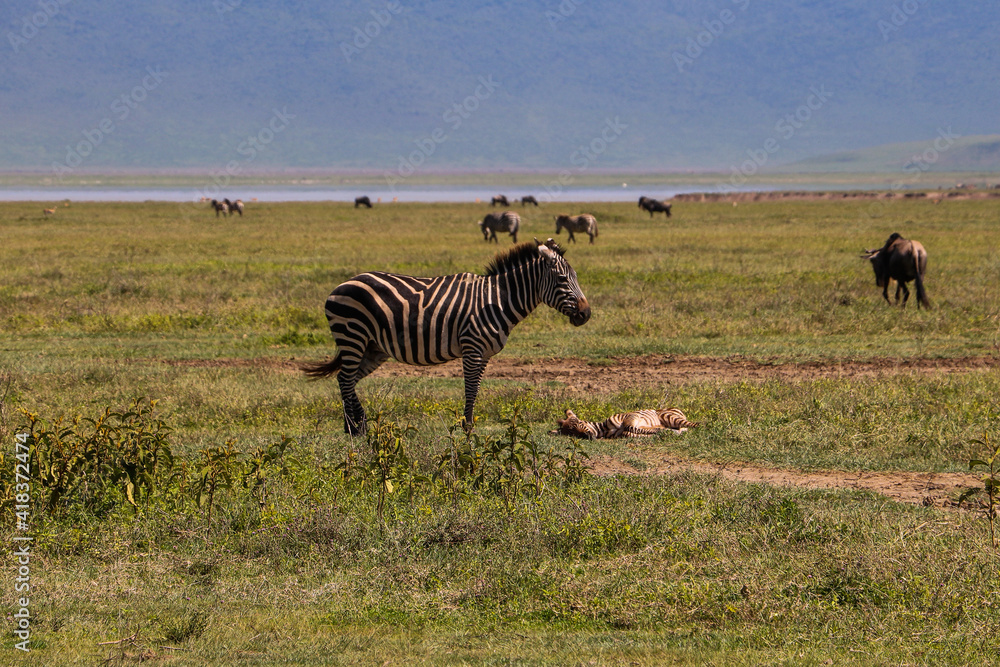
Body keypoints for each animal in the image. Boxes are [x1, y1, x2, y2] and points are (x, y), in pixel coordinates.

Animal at [302, 239, 591, 436]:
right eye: (562, 279)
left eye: (576, 277)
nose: (586, 314)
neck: (497, 300)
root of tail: (341, 285)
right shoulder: (473, 348)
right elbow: (470, 389)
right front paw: (467, 428)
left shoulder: (484, 354)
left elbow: (475, 389)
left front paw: (468, 425)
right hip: (352, 335)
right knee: (345, 378)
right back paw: (356, 427)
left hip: (373, 347)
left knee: (346, 380)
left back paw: (354, 426)